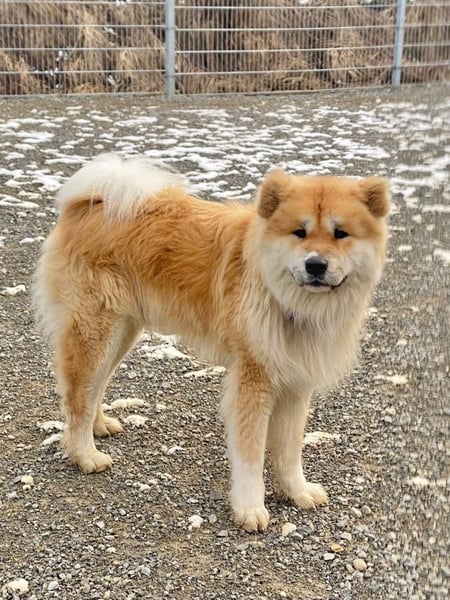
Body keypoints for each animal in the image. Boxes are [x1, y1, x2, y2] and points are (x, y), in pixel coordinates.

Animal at [33, 154, 389, 532]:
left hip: (122, 332)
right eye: (300, 232)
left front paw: (297, 491)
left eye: (340, 234)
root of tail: (92, 202)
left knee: (93, 388)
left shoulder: (295, 381)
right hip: (97, 331)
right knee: (77, 397)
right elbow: (250, 454)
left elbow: (290, 450)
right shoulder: (253, 380)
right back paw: (84, 454)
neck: (281, 295)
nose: (316, 265)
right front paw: (250, 508)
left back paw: (99, 425)